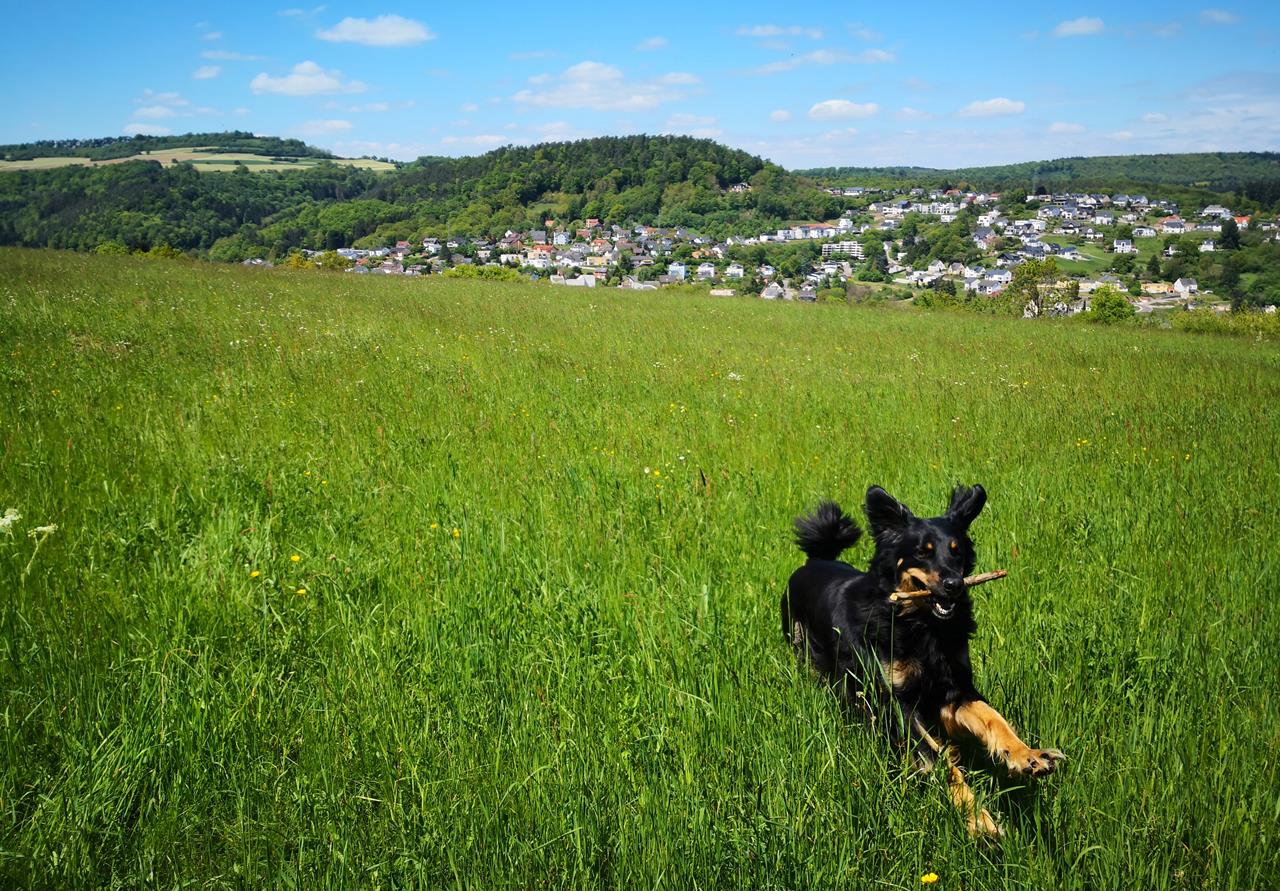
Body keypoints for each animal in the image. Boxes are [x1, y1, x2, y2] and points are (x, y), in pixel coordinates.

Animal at [782, 485, 1064, 837]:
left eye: (957, 551)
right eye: (922, 552)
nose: (954, 585)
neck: (921, 626)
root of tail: (815, 561)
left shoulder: (953, 690)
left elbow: (993, 718)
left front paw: (1028, 756)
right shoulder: (898, 705)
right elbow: (938, 758)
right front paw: (978, 818)